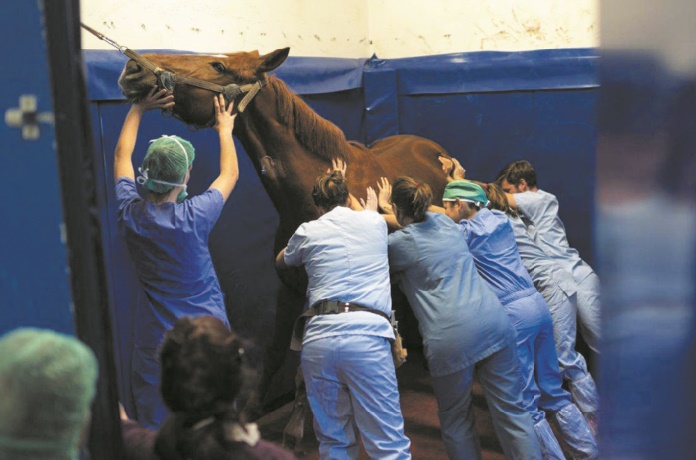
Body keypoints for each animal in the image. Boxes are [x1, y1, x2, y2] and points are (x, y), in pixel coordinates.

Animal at [121, 46, 452, 442]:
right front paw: (251, 415)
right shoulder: (289, 288)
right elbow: (275, 353)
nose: (133, 67)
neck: (315, 195)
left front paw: (295, 430)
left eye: (218, 65)